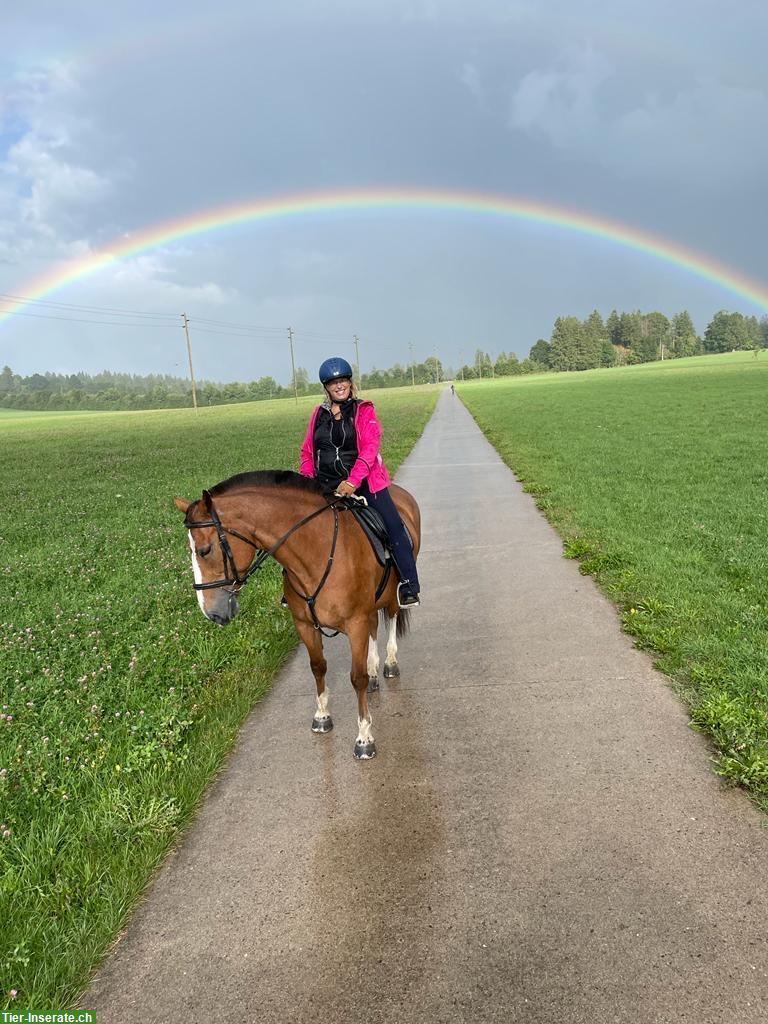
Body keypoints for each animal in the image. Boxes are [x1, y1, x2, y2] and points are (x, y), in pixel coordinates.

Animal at [174, 471, 421, 761]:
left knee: (391, 618)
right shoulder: (305, 625)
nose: (211, 612)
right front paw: (322, 716)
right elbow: (318, 667)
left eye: (205, 550)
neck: (317, 551)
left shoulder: (355, 623)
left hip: (392, 595)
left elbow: (355, 678)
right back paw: (373, 673)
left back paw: (390, 663)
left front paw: (364, 738)